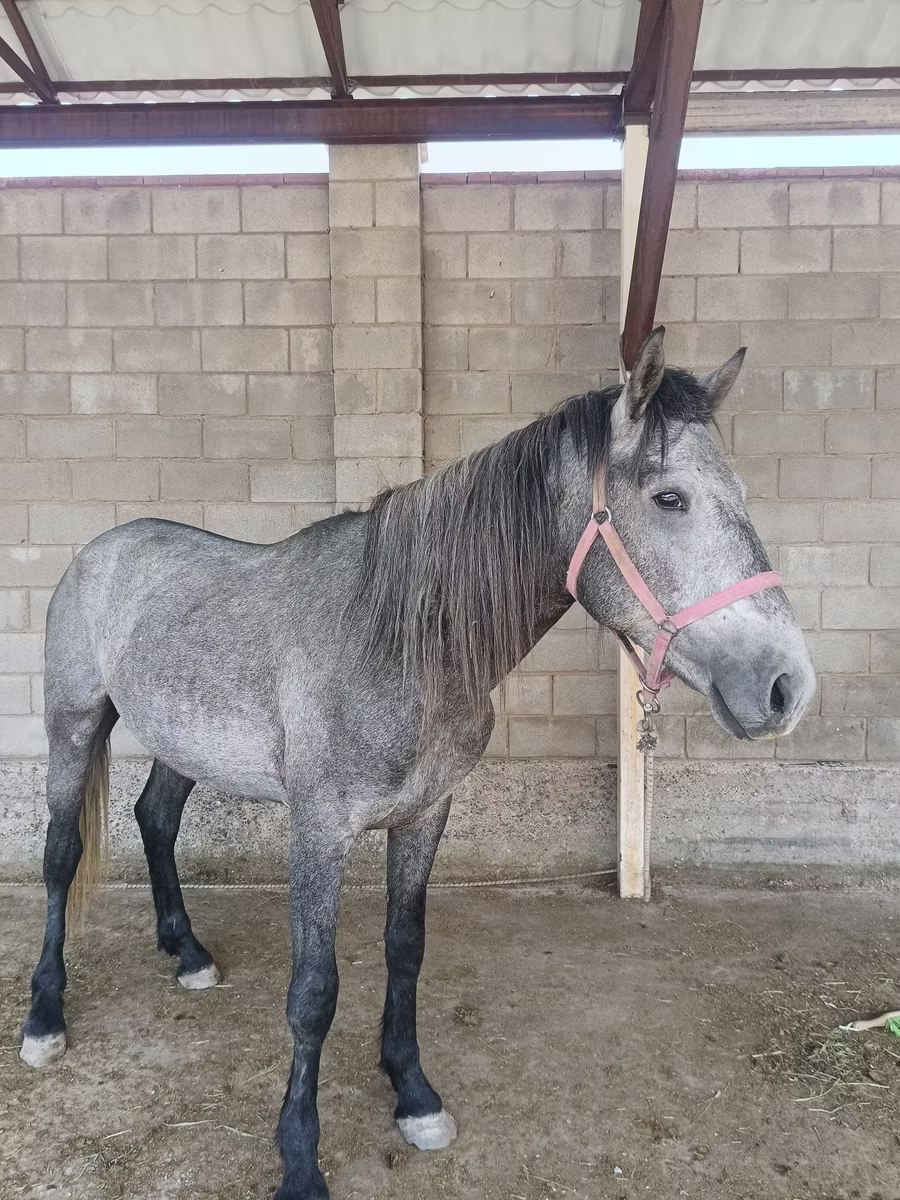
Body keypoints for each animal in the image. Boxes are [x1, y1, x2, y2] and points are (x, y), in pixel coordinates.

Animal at [20, 327, 815, 1199]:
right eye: (670, 498)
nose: (786, 686)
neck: (402, 641)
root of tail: (101, 548)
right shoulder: (320, 830)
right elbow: (313, 991)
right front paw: (299, 1158)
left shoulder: (426, 815)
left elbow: (406, 948)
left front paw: (412, 1093)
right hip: (74, 725)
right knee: (62, 856)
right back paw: (45, 1018)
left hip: (183, 743)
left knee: (156, 818)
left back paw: (188, 954)